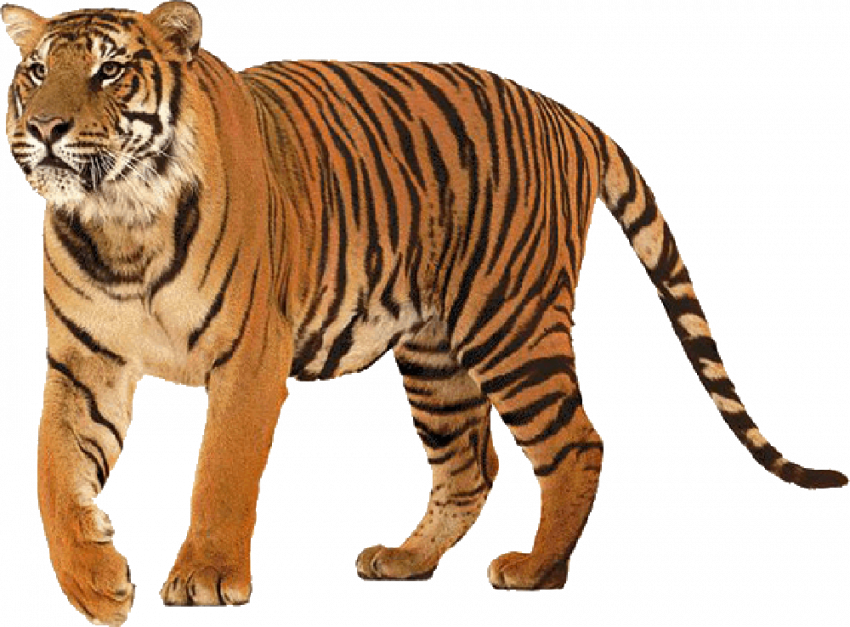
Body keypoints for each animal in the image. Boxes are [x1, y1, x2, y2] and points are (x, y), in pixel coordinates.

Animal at [3, 1, 846, 626]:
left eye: (110, 70)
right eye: (38, 71)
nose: (44, 128)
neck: (120, 222)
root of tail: (565, 113)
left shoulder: (251, 354)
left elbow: (222, 468)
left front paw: (206, 574)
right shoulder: (83, 361)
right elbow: (56, 474)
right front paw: (95, 584)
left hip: (511, 323)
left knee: (575, 441)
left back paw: (536, 569)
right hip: (437, 354)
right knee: (472, 464)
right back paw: (408, 559)